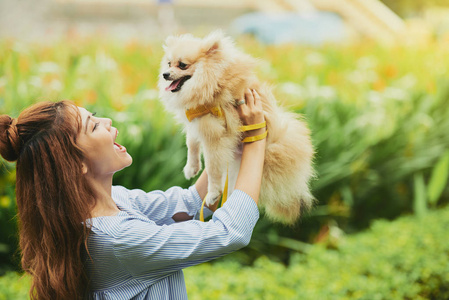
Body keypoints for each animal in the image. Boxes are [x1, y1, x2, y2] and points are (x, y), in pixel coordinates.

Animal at [159, 31, 314, 224]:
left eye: (182, 65)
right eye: (168, 63)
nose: (165, 74)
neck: (211, 81)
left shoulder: (214, 136)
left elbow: (212, 168)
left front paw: (212, 193)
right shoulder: (196, 121)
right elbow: (192, 144)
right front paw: (191, 168)